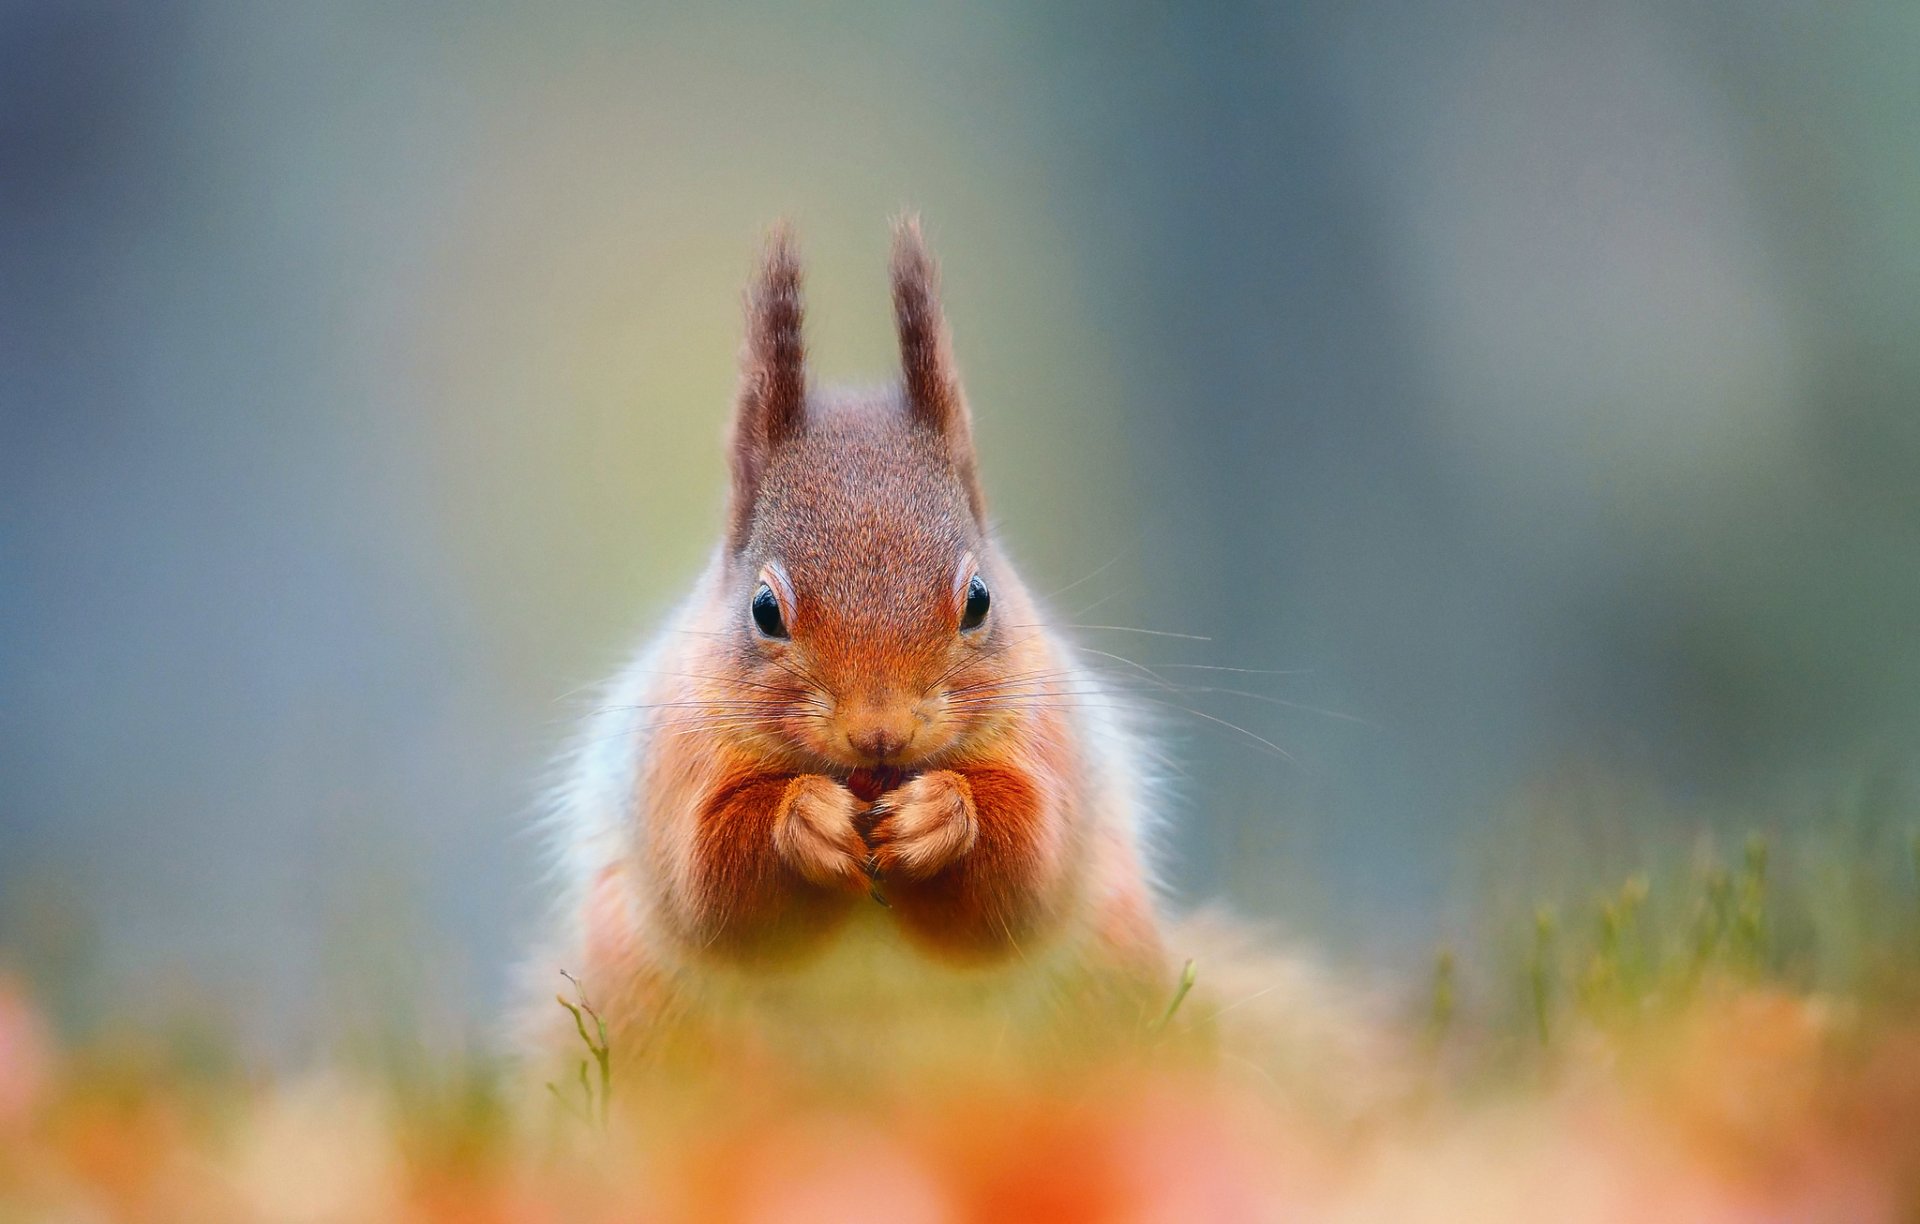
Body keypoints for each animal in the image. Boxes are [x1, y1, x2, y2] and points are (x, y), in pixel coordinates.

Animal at [523, 219, 1390, 1105]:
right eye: (765, 610)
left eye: (978, 598)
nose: (879, 733)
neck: (870, 782)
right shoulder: (674, 766)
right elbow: (710, 886)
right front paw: (806, 818)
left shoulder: (1050, 746)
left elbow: (1024, 871)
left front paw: (942, 815)